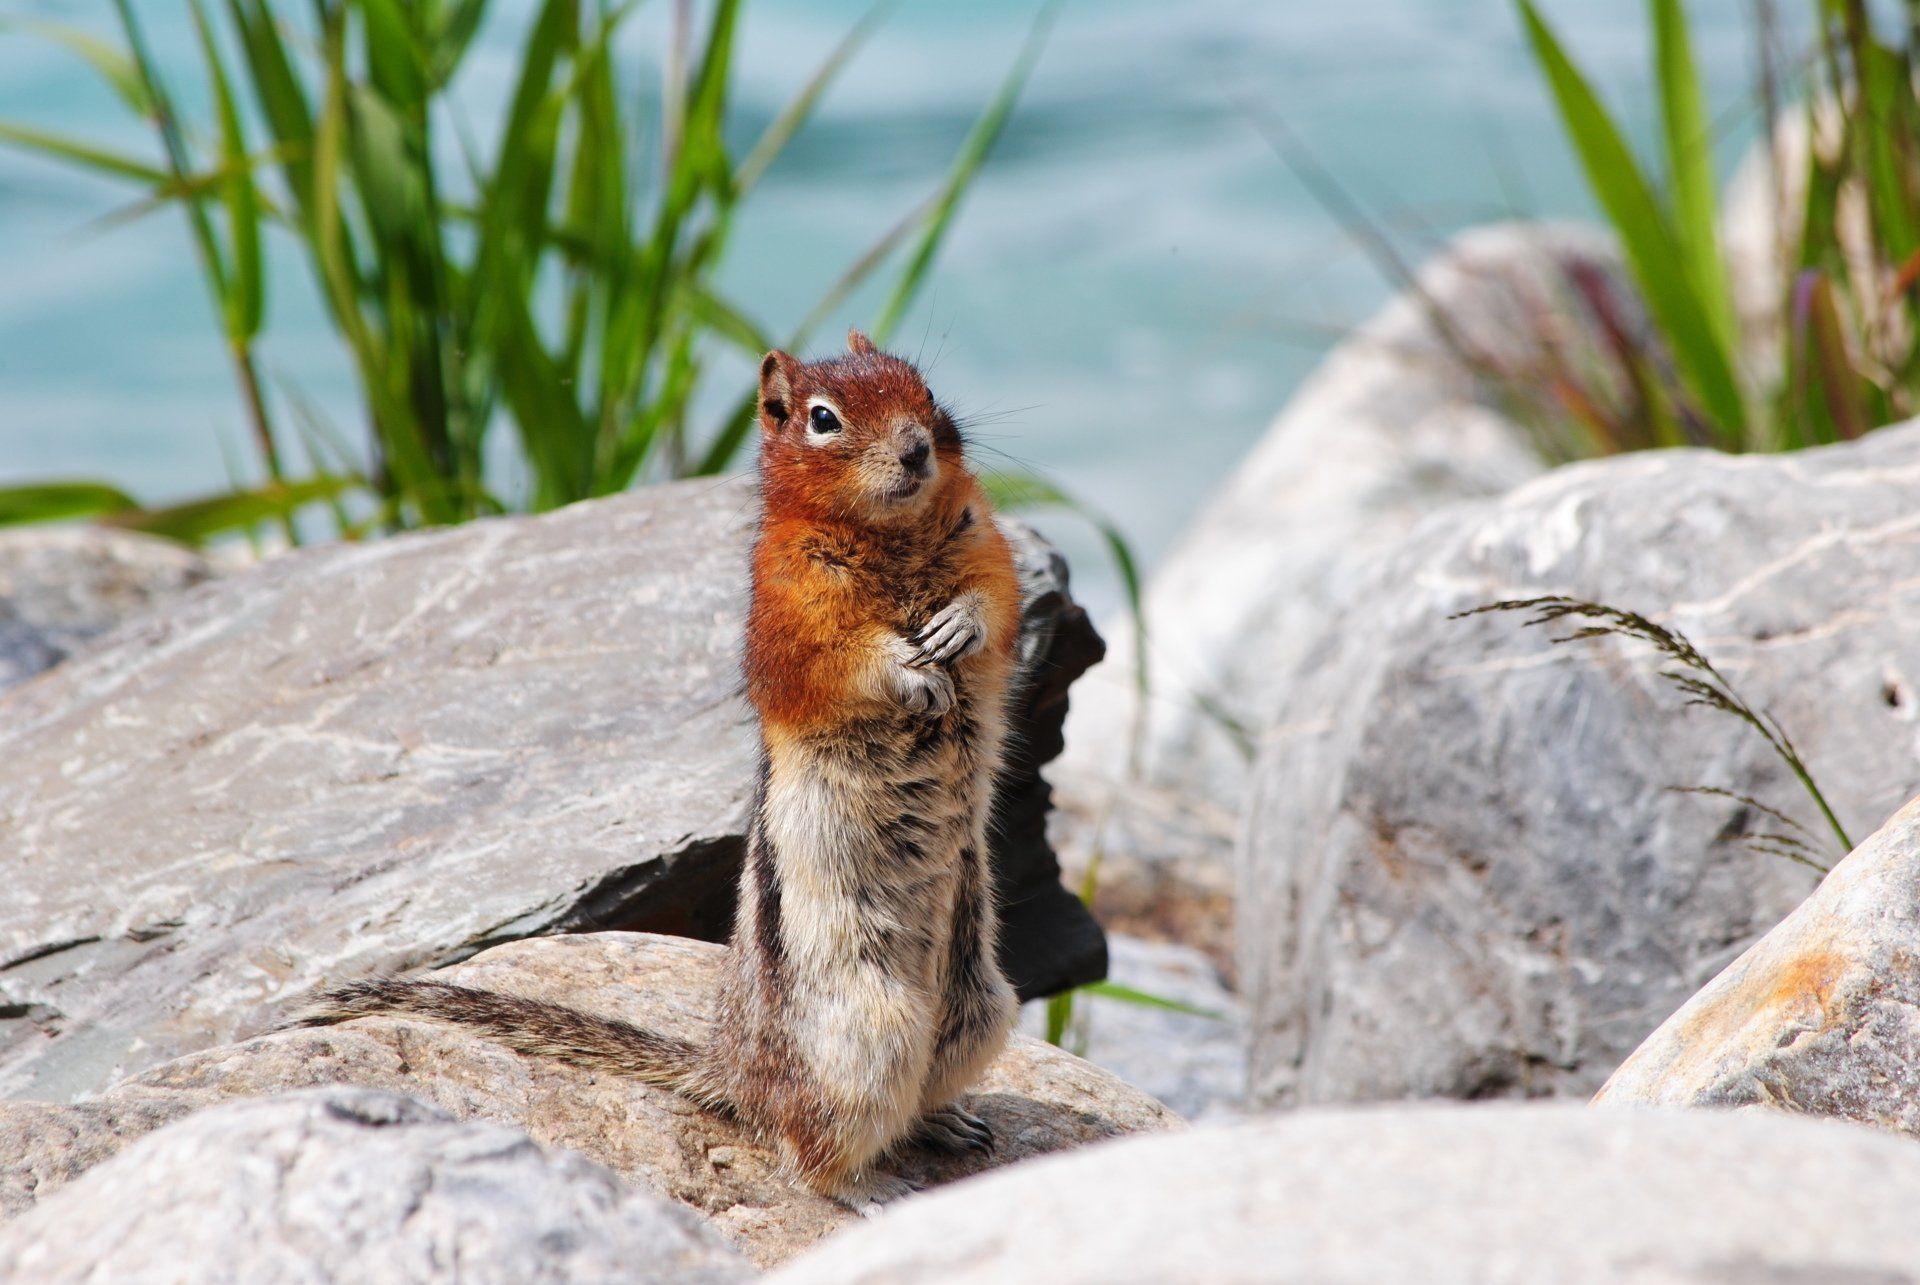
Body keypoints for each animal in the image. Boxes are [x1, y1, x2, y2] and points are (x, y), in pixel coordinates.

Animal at [297, 330, 1024, 1214]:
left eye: (921, 388)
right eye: (822, 419)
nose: (919, 447)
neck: (897, 537)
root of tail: (734, 1070)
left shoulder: (983, 540)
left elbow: (997, 599)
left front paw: (957, 627)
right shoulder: (789, 605)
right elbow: (839, 659)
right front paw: (910, 672)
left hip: (979, 1004)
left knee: (916, 1092)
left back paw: (948, 1121)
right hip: (863, 1036)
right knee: (805, 1151)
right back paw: (871, 1187)